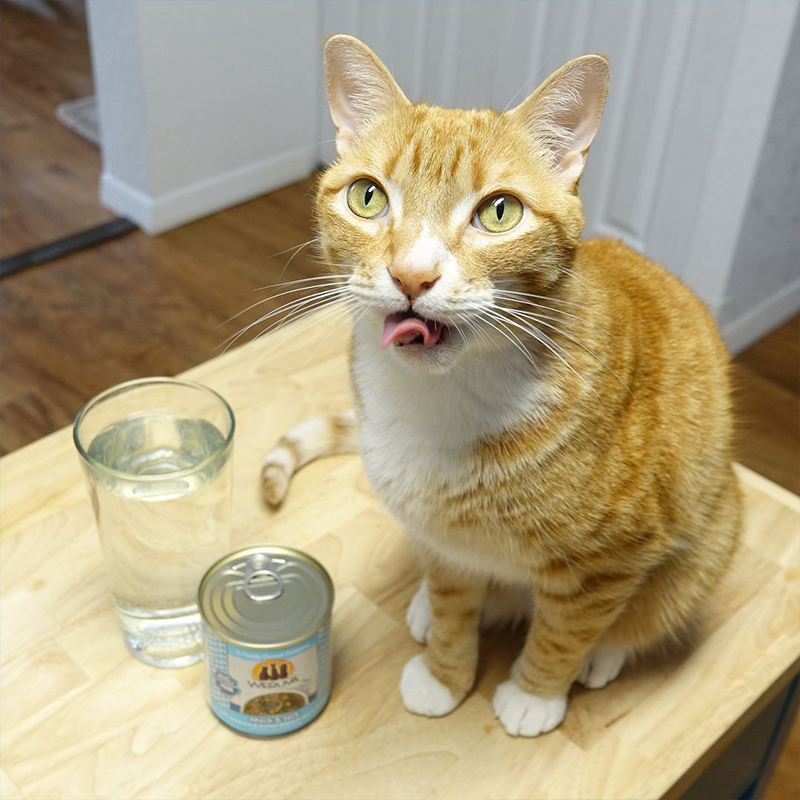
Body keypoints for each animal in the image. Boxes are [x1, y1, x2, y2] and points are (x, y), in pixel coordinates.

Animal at [260, 36, 736, 736]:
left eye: (499, 211)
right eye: (368, 198)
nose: (412, 275)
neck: (439, 400)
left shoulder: (612, 561)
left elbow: (566, 630)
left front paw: (536, 693)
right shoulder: (442, 542)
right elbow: (454, 604)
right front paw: (445, 673)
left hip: (711, 539)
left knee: (646, 615)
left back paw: (604, 657)